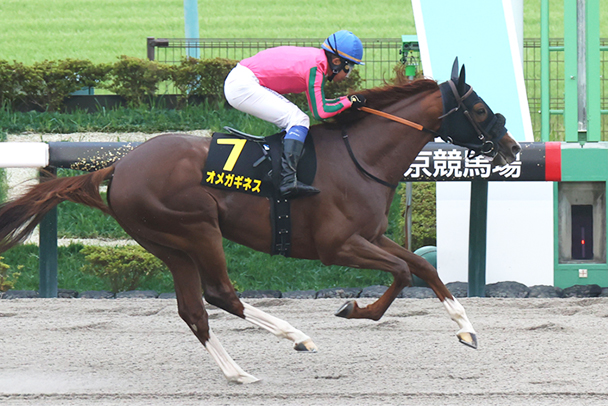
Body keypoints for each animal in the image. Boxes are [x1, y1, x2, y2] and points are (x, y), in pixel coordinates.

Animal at [0, 59, 521, 383]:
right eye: (478, 108)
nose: (513, 147)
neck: (359, 156)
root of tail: (119, 166)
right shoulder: (337, 245)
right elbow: (400, 272)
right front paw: (354, 309)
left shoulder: (370, 235)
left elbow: (423, 267)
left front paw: (466, 329)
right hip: (197, 229)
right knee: (220, 295)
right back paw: (297, 337)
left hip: (168, 244)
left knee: (193, 309)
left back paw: (237, 373)